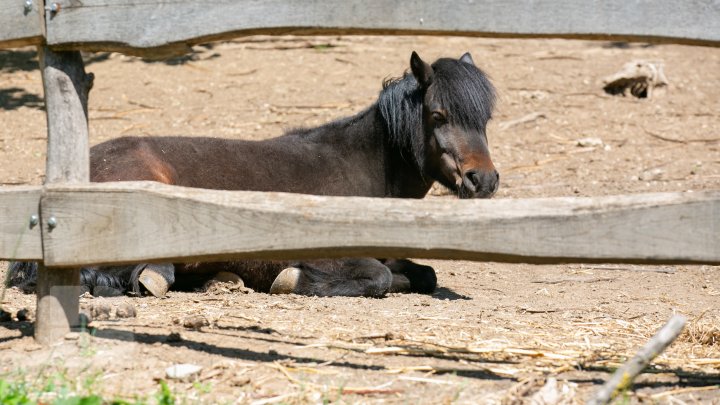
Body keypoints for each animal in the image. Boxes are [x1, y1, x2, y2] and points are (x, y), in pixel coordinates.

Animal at [9, 50, 496, 296]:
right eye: (437, 115)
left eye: (485, 118)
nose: (484, 180)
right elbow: (376, 278)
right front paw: (291, 280)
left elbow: (423, 274)